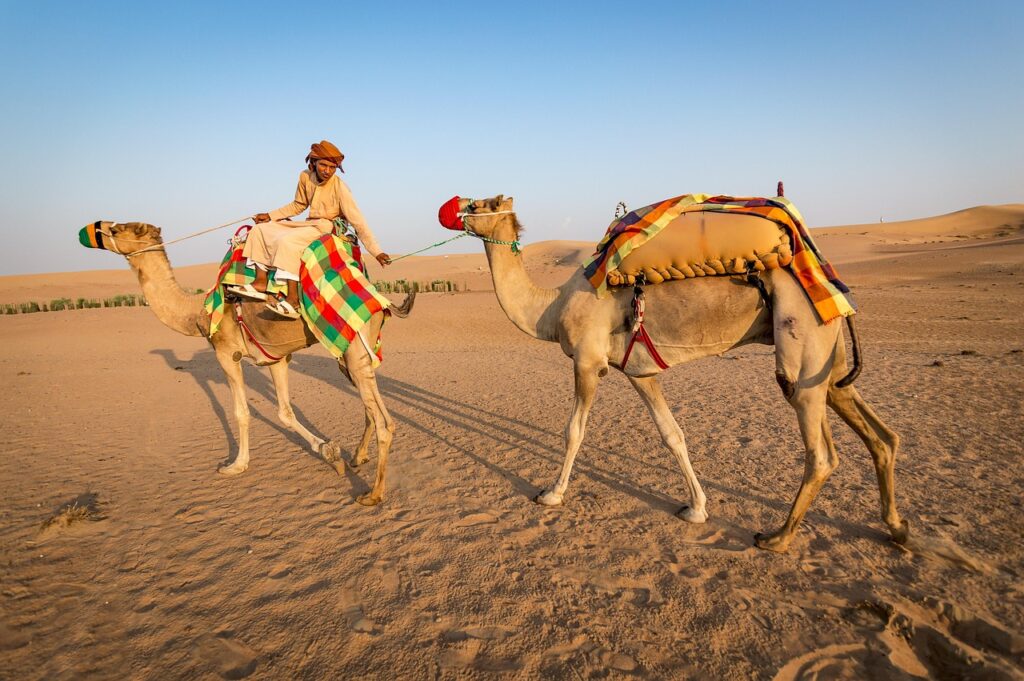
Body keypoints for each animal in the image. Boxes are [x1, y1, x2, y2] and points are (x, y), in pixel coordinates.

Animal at [84, 221, 413, 505]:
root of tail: (381, 299)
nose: (94, 228)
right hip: (351, 354)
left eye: (118, 229)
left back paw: (373, 494)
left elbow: (241, 412)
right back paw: (357, 457)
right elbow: (284, 412)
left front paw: (236, 464)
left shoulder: (226, 353)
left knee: (385, 423)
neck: (199, 312)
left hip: (353, 344)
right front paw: (329, 451)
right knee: (371, 409)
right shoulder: (277, 358)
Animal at [457, 196, 908, 552]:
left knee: (820, 452)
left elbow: (574, 432)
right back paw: (896, 527)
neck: (550, 308)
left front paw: (551, 494)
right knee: (880, 434)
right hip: (829, 356)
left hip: (801, 341)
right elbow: (672, 434)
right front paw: (696, 508)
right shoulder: (638, 372)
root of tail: (823, 275)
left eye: (479, 205)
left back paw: (777, 537)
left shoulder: (586, 362)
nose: (454, 209)